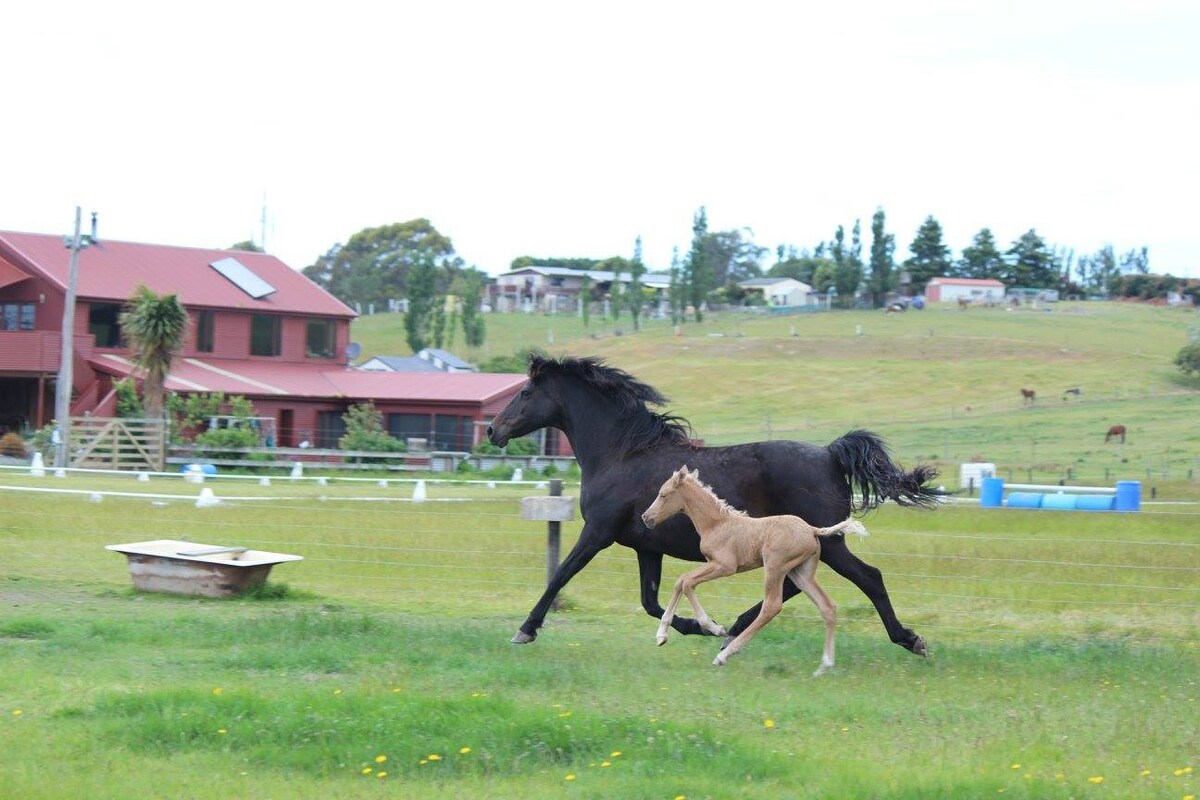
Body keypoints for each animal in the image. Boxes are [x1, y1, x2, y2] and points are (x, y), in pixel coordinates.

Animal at [643, 465, 868, 671]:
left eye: (663, 494)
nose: (646, 517)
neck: (716, 524)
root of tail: (812, 530)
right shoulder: (714, 565)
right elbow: (681, 581)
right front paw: (661, 636)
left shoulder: (725, 565)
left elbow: (687, 581)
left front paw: (715, 628)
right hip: (800, 572)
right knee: (827, 606)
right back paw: (825, 664)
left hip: (775, 566)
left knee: (771, 606)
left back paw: (724, 655)